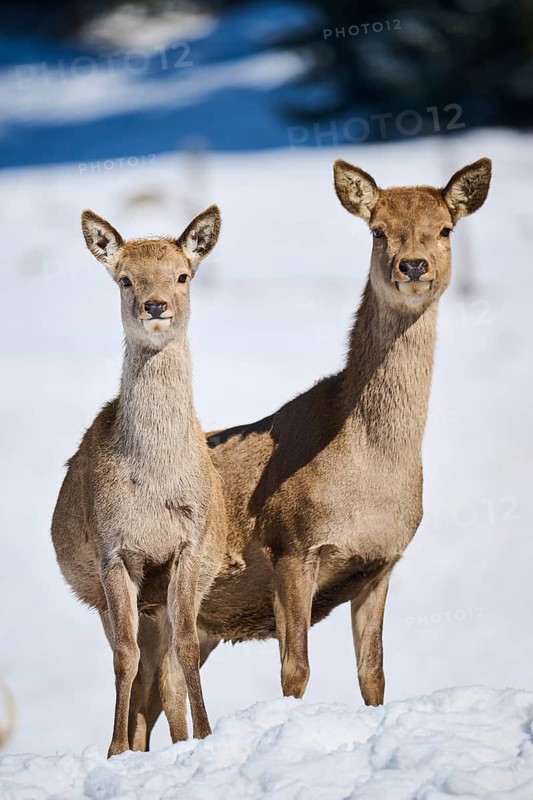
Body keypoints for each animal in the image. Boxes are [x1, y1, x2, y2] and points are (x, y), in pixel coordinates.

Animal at [51, 205, 237, 757]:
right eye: (125, 278)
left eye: (183, 275)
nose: (156, 306)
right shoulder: (114, 551)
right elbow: (124, 657)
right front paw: (116, 750)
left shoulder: (187, 547)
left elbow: (188, 647)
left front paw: (205, 734)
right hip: (105, 595)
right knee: (140, 662)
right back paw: (138, 743)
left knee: (168, 669)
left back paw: (177, 739)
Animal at [127, 157, 492, 749]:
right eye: (377, 230)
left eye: (445, 229)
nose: (413, 265)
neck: (370, 472)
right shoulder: (291, 542)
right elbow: (294, 669)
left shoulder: (382, 561)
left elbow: (374, 673)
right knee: (147, 688)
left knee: (157, 693)